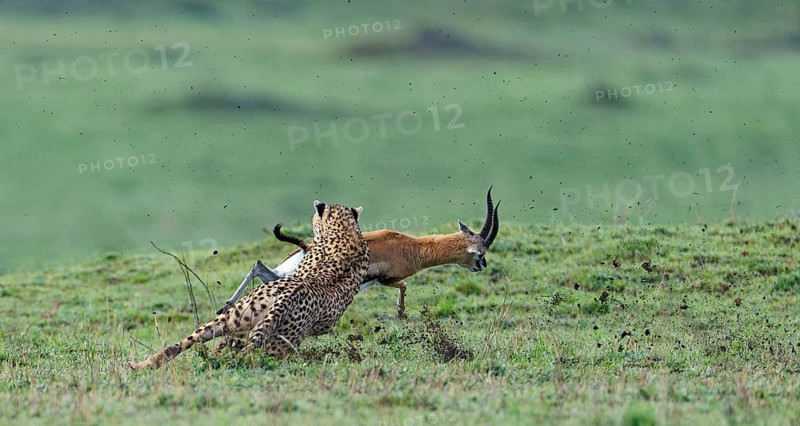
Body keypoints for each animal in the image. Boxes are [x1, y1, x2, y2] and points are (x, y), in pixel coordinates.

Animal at [127, 200, 369, 369]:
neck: (345, 231)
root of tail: (287, 295)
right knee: (248, 357)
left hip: (231, 320)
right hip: (277, 344)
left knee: (185, 344)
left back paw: (142, 365)